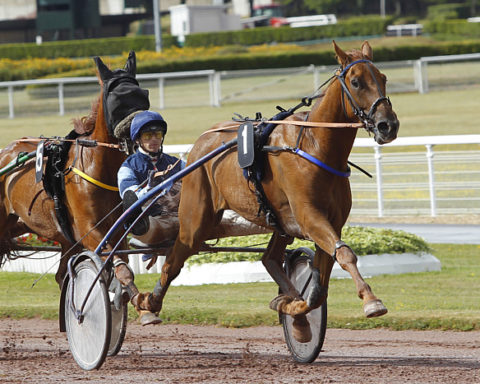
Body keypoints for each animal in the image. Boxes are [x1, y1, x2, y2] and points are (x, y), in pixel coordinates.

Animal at [0, 51, 145, 296]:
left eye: (144, 95)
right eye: (117, 99)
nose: (146, 128)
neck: (99, 168)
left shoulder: (114, 230)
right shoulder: (88, 230)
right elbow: (119, 268)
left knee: (61, 275)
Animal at [131, 41, 398, 340]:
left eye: (383, 78)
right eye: (356, 82)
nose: (388, 125)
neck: (315, 146)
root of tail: (202, 141)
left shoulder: (331, 221)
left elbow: (319, 285)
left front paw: (294, 308)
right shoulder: (310, 217)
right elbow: (345, 254)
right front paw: (371, 301)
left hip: (278, 223)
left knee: (268, 258)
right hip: (196, 218)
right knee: (174, 258)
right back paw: (148, 304)